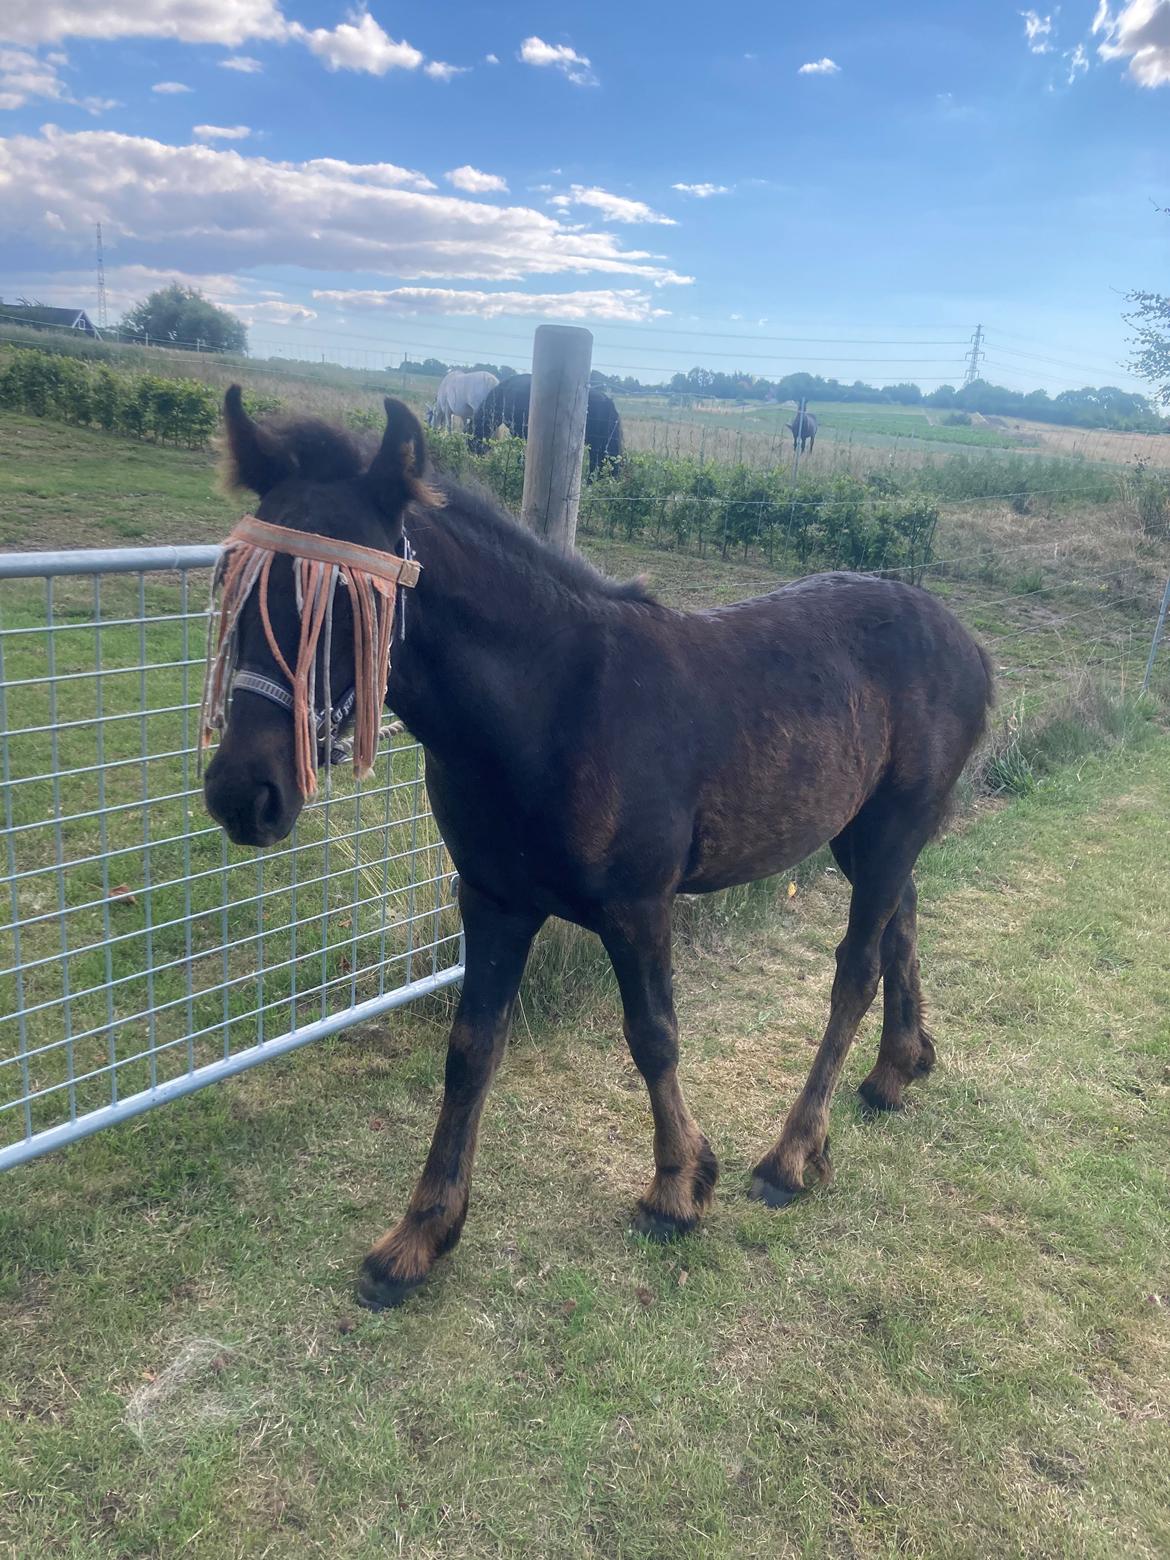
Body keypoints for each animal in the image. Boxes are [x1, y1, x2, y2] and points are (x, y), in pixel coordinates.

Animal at [203, 389, 994, 1312]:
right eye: (231, 582)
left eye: (346, 601)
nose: (244, 792)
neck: (552, 707)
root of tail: (968, 641)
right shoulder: (494, 901)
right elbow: (470, 1051)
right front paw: (419, 1236)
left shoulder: (637, 906)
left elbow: (653, 1035)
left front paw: (679, 1187)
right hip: (862, 832)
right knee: (903, 922)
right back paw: (897, 1070)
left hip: (894, 823)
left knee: (856, 969)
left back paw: (793, 1154)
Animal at [467, 373, 624, 475]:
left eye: (470, 435)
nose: (472, 457)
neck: (506, 392)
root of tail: (608, 402)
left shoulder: (520, 431)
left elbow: (522, 454)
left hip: (597, 445)